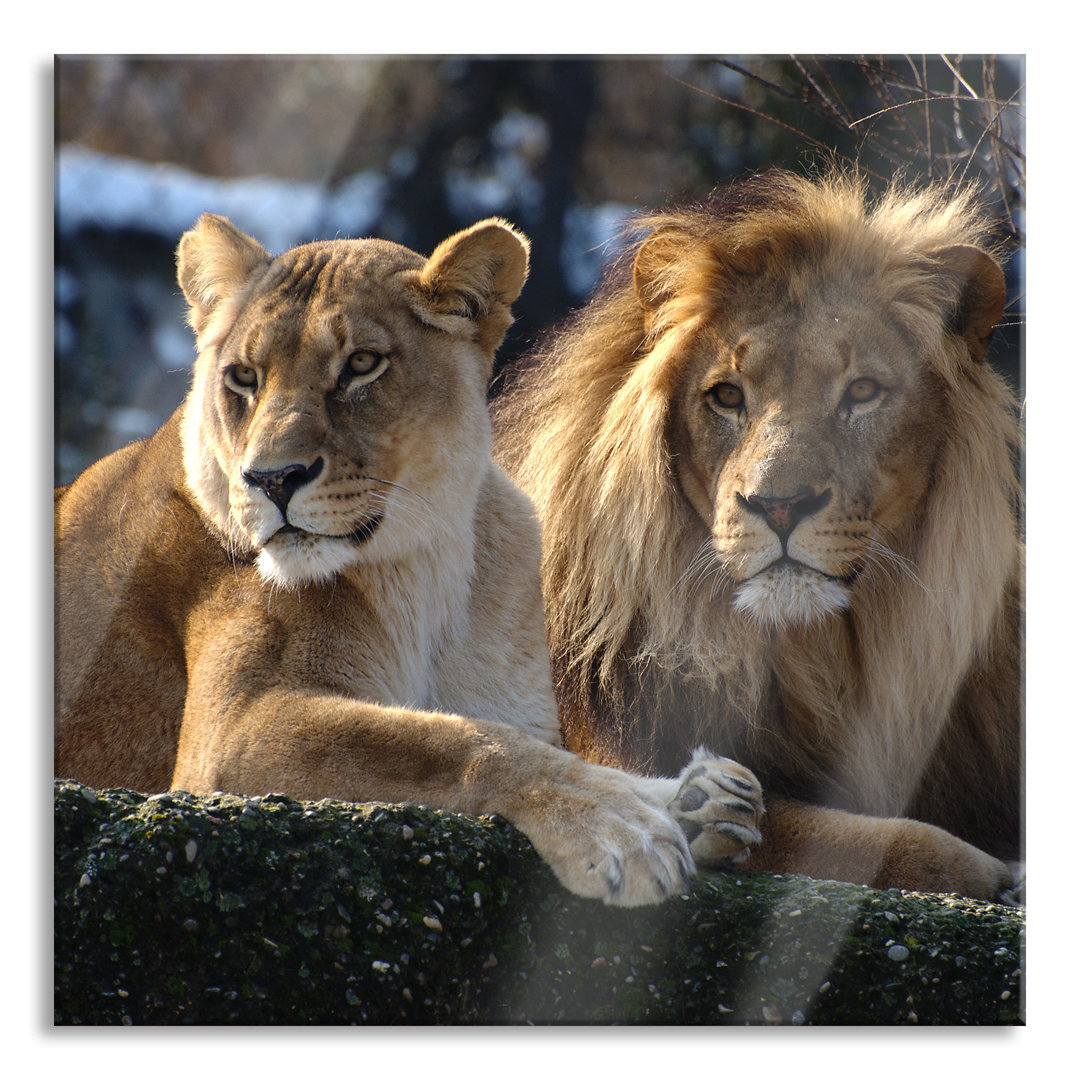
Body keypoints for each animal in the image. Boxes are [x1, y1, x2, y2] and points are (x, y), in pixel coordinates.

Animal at [54, 210, 760, 902]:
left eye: (362, 364)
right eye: (244, 378)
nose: (272, 479)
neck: (428, 563)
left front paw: (696, 801)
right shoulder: (230, 733)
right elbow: (450, 740)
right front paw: (619, 823)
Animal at [494, 170, 1019, 902]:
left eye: (862, 391)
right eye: (726, 395)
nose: (779, 505)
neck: (818, 655)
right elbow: (860, 837)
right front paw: (995, 874)